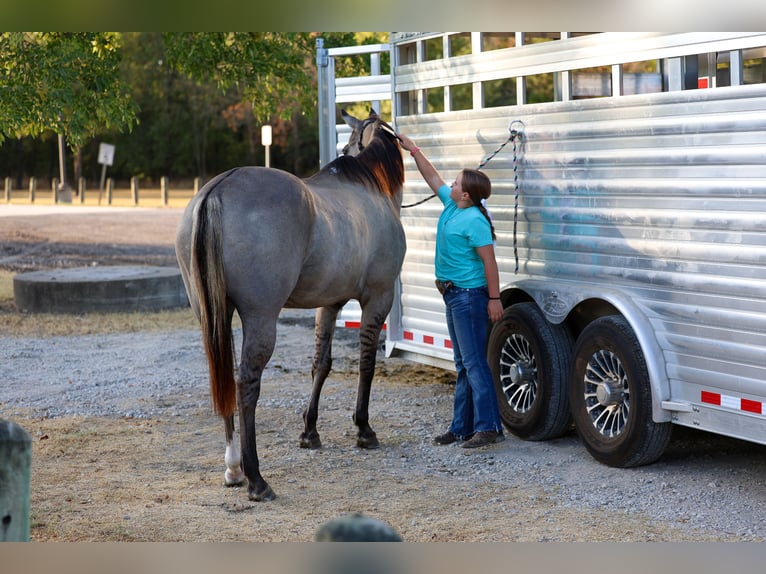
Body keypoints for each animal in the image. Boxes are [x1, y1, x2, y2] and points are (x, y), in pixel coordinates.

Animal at [175, 109, 406, 501]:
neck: (369, 188)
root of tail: (217, 190)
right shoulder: (378, 298)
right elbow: (367, 364)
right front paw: (363, 429)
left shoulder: (329, 304)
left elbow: (321, 364)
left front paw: (310, 432)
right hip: (261, 318)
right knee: (245, 382)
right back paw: (256, 478)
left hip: (212, 315)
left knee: (223, 377)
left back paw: (233, 468)